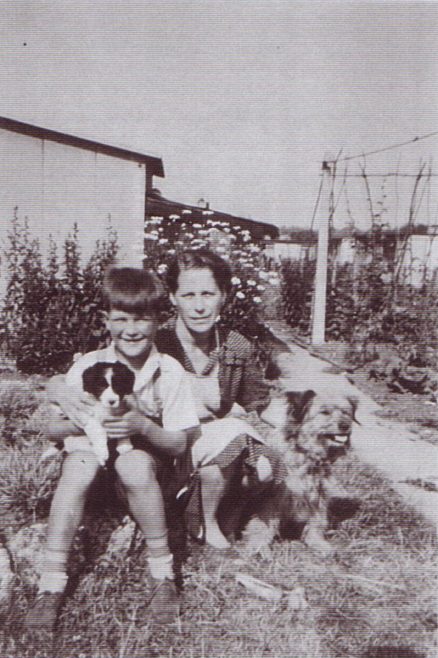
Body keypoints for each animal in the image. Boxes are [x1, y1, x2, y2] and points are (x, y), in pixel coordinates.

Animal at [243, 386, 360, 556]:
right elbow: (263, 522)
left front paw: (317, 542)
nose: (345, 426)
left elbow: (317, 520)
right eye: (324, 412)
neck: (307, 454)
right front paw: (258, 545)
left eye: (346, 412)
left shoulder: (317, 493)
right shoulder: (271, 495)